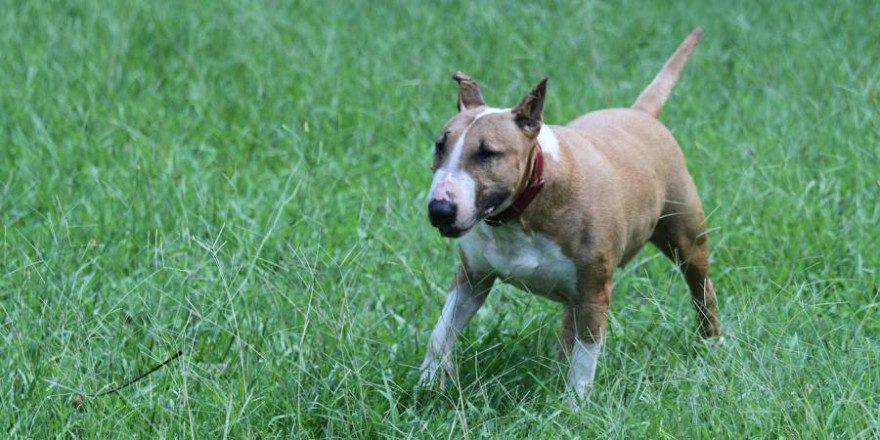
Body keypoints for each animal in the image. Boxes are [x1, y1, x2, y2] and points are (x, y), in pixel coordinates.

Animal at [422, 28, 720, 402]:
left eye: (487, 153)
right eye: (440, 145)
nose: (440, 211)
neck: (522, 214)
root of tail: (641, 114)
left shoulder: (595, 290)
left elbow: (585, 357)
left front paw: (575, 406)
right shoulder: (473, 278)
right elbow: (440, 331)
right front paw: (428, 382)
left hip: (687, 238)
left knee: (702, 287)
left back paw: (711, 344)